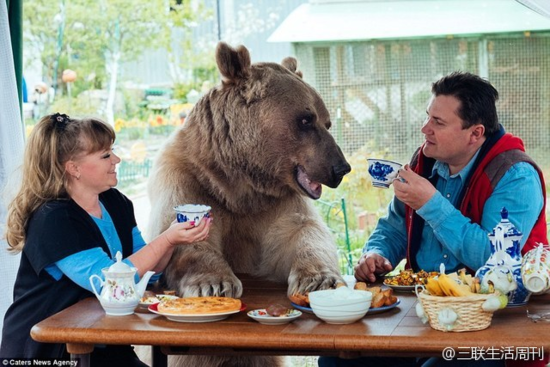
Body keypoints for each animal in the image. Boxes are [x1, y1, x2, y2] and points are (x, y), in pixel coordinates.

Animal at [148, 42, 350, 367]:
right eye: (306, 119)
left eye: (326, 120)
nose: (340, 168)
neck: (238, 184)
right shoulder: (187, 179)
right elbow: (182, 235)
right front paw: (215, 283)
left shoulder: (276, 204)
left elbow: (302, 233)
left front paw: (319, 281)